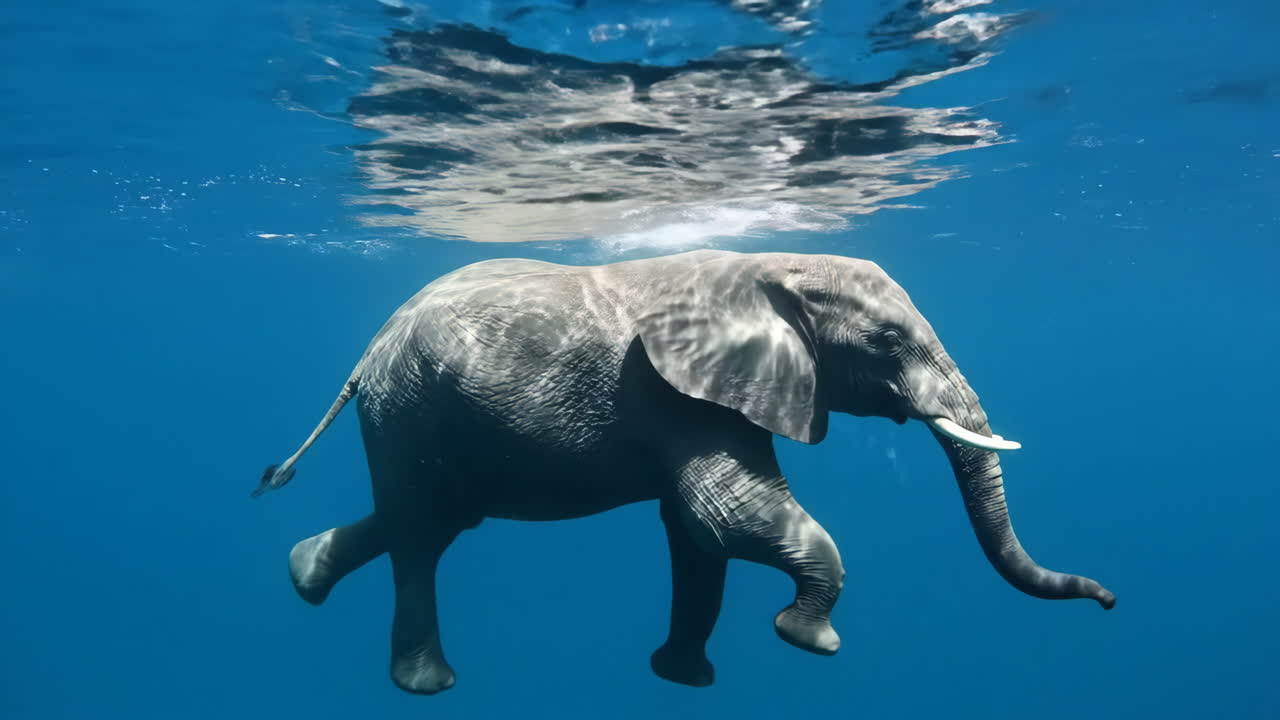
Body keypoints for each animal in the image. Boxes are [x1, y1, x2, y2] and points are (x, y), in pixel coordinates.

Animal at [256, 249, 1114, 695]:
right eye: (888, 343)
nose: (1108, 600)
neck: (775, 267)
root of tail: (365, 355)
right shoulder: (681, 391)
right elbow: (723, 515)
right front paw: (810, 640)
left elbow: (697, 534)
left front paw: (683, 681)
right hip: (407, 411)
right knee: (419, 535)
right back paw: (427, 687)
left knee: (436, 519)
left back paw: (302, 575)